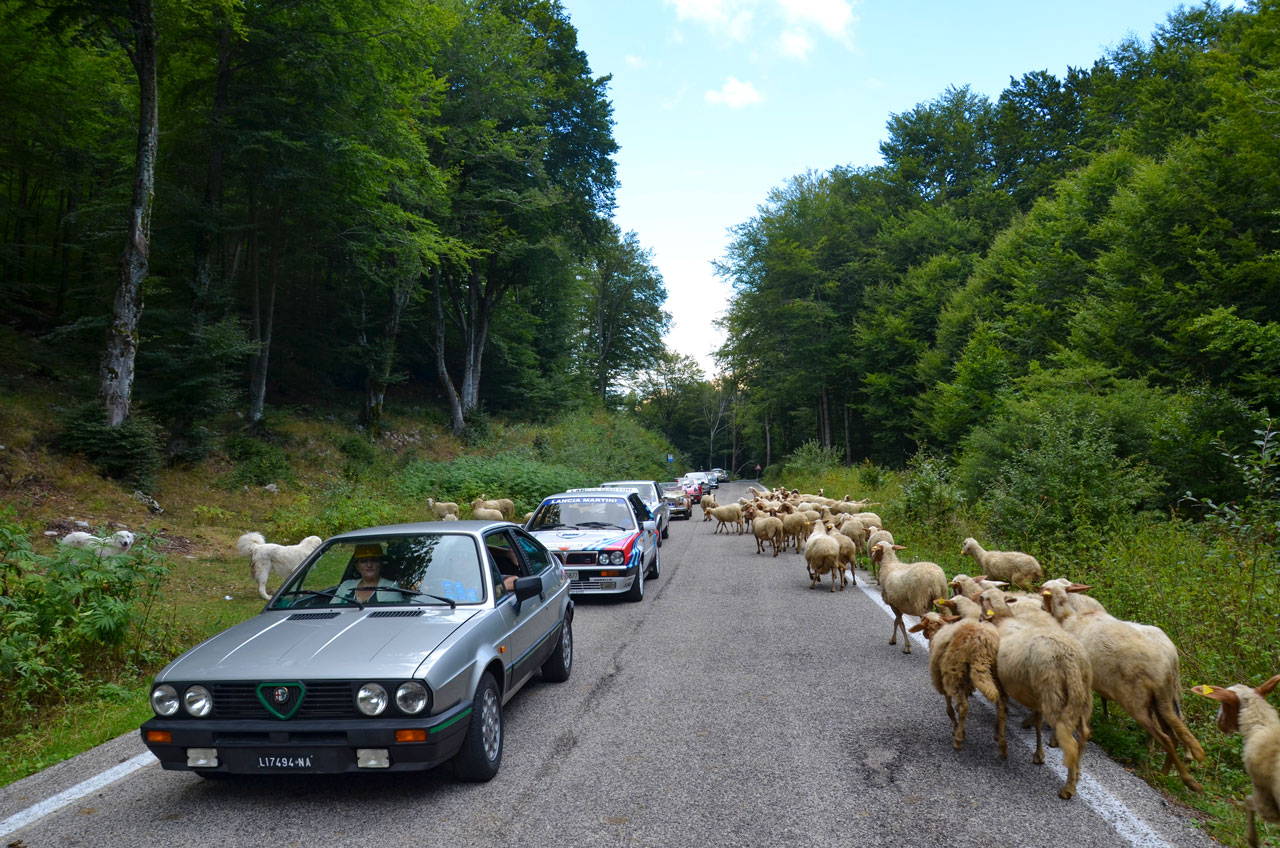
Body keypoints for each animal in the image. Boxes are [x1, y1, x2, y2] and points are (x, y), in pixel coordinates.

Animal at [911, 607, 1008, 758]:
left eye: (922, 620)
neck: (937, 631)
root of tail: (982, 645)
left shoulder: (944, 679)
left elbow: (949, 709)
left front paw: (956, 728)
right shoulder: (965, 683)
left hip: (955, 674)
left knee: (964, 707)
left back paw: (959, 739)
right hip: (996, 675)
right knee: (1002, 708)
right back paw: (1002, 743)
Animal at [1044, 584, 1203, 789]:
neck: (1070, 616)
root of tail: (1168, 662)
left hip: (1140, 702)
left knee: (1166, 733)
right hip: (1163, 699)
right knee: (1174, 727)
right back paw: (1167, 770)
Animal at [1187, 676, 1280, 845]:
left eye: (1225, 704)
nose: (1219, 724)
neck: (1261, 727)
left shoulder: (1266, 798)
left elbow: (1248, 801)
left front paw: (1252, 839)